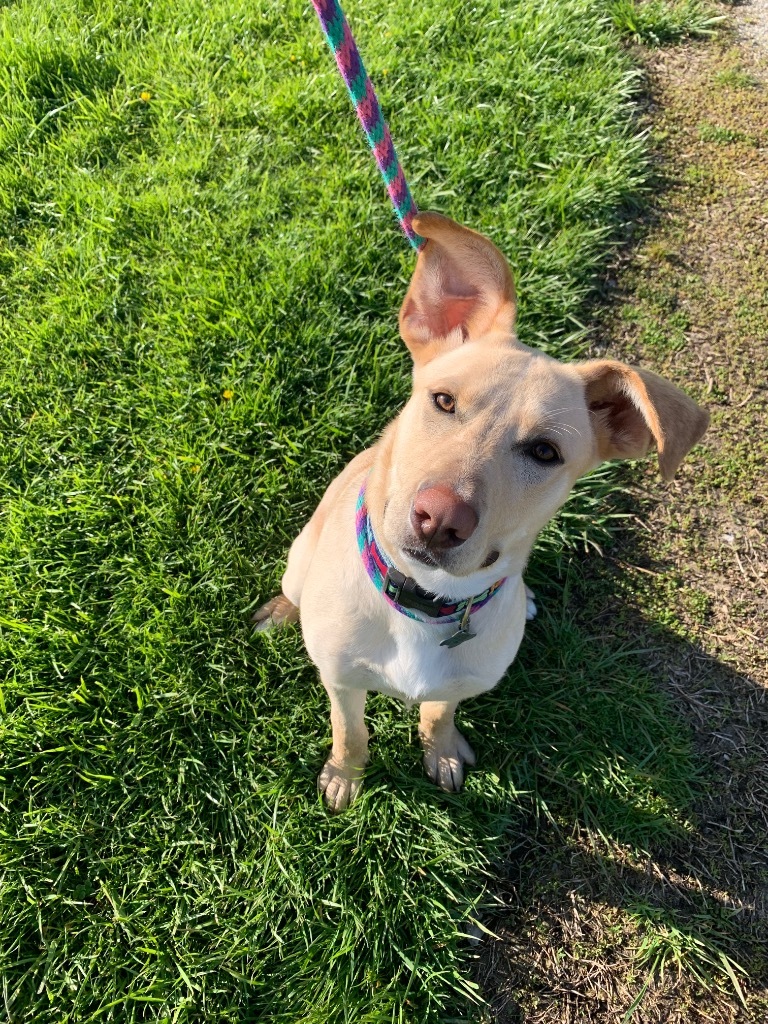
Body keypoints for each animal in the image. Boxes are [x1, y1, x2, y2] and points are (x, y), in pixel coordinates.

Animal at [253, 211, 708, 811]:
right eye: (443, 401)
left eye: (544, 452)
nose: (439, 519)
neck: (427, 603)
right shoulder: (343, 682)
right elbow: (350, 732)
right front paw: (345, 776)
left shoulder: (461, 682)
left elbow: (438, 713)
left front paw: (441, 751)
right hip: (298, 561)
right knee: (294, 588)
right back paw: (281, 611)